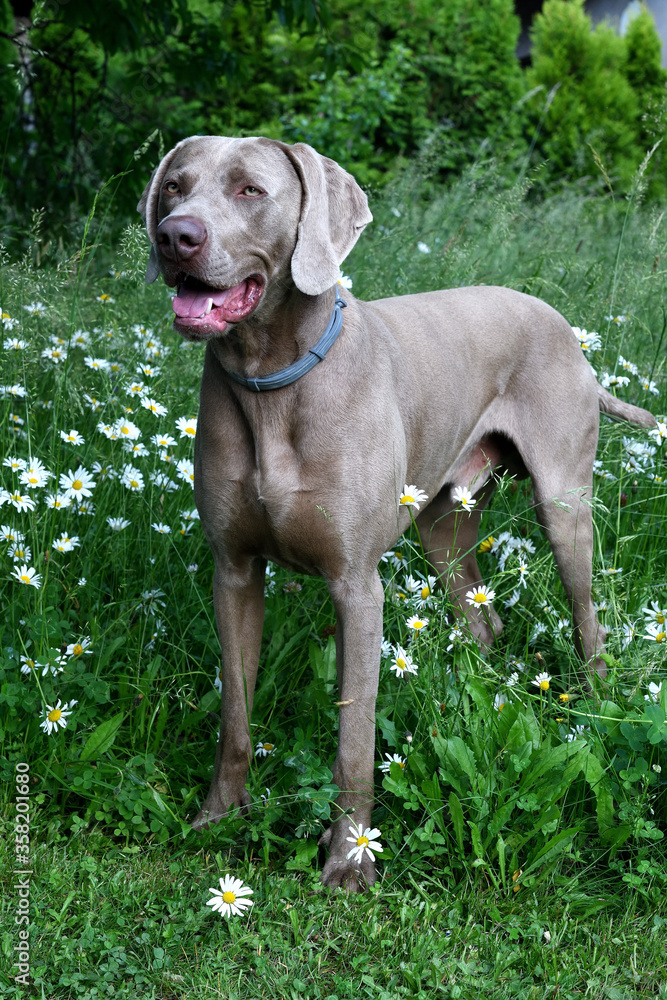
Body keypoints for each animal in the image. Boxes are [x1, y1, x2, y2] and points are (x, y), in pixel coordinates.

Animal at [138, 135, 656, 892]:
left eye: (249, 191)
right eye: (174, 186)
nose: (175, 236)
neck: (271, 381)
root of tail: (561, 322)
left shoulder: (357, 586)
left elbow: (353, 738)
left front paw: (349, 861)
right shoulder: (232, 571)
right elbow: (235, 712)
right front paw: (217, 817)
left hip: (564, 507)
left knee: (588, 619)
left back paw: (593, 708)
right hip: (443, 526)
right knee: (482, 619)